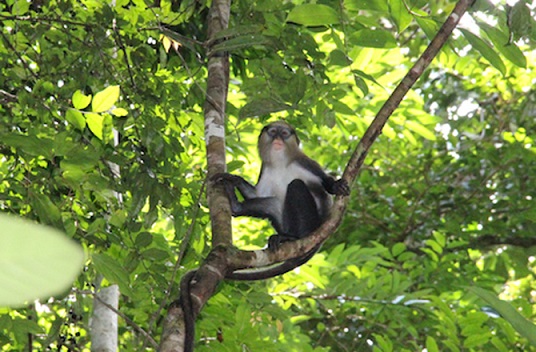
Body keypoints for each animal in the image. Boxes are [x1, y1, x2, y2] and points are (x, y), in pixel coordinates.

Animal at [214, 121, 352, 280]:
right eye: (273, 132)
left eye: (284, 133)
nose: (278, 138)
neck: (281, 163)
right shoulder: (266, 168)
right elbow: (256, 194)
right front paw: (234, 179)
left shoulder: (304, 162)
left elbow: (324, 181)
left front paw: (336, 186)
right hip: (285, 223)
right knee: (275, 204)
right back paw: (237, 207)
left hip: (314, 223)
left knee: (296, 185)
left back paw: (294, 237)